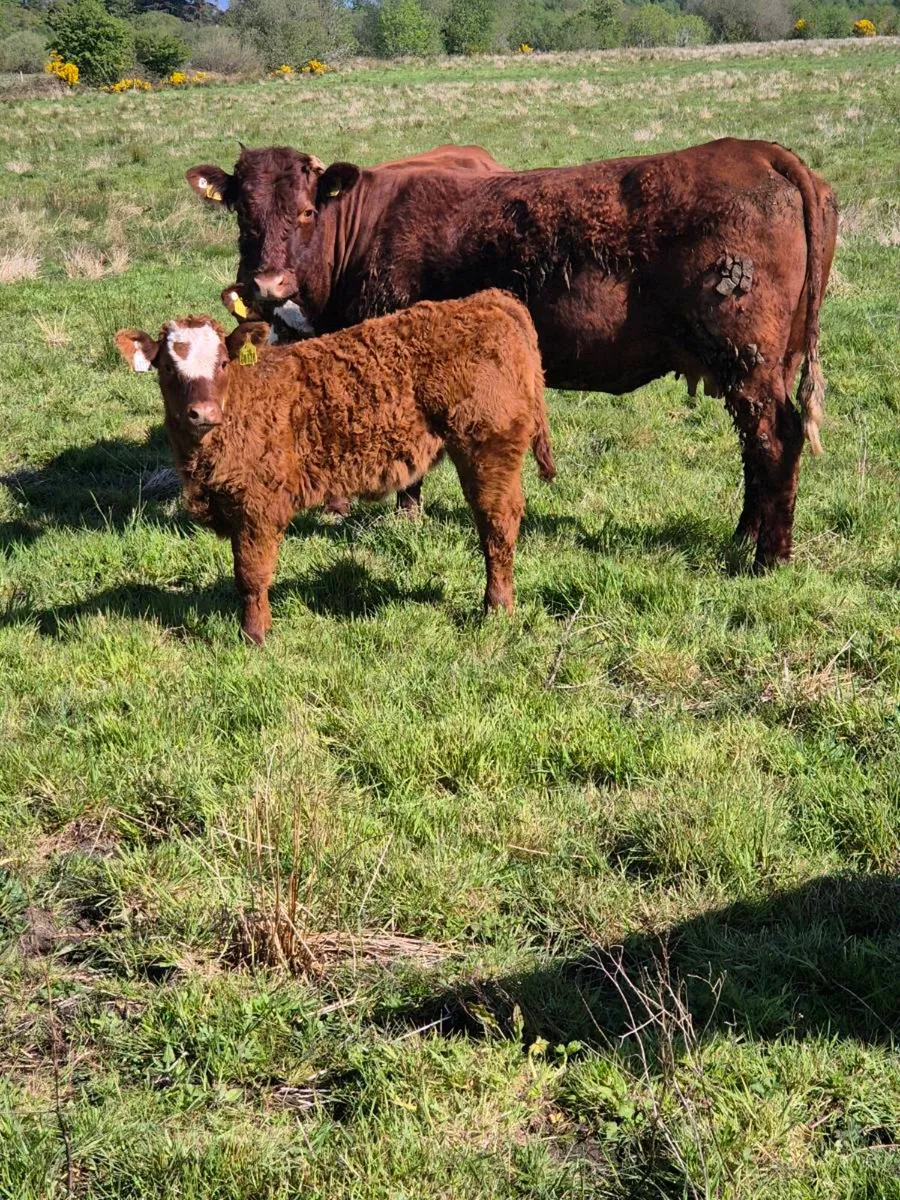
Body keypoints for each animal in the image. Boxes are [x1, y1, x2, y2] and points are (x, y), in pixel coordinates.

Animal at [114, 290, 555, 645]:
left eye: (223, 362)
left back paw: (496, 608)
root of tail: (487, 300)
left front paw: (254, 635)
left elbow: (251, 574)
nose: (202, 412)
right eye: (167, 368)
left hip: (487, 447)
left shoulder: (257, 505)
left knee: (497, 525)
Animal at [187, 139, 837, 572]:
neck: (363, 230)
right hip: (765, 364)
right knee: (757, 445)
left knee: (775, 440)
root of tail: (763, 153)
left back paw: (768, 556)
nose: (266, 284)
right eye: (242, 213)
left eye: (305, 211)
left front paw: (403, 513)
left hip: (746, 357)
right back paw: (745, 534)